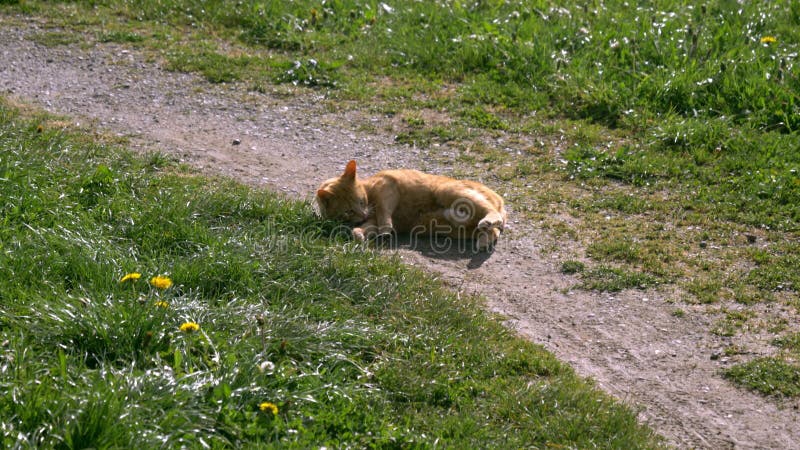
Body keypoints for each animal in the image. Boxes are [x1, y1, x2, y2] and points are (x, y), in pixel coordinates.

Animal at [314, 160, 506, 250]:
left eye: (361, 201)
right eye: (348, 211)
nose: (362, 214)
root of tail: (500, 200)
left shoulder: (386, 188)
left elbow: (383, 211)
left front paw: (385, 229)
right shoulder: (372, 220)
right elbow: (363, 228)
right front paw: (359, 234)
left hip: (448, 191)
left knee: (492, 214)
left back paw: (488, 222)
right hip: (462, 230)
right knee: (494, 231)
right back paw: (483, 241)